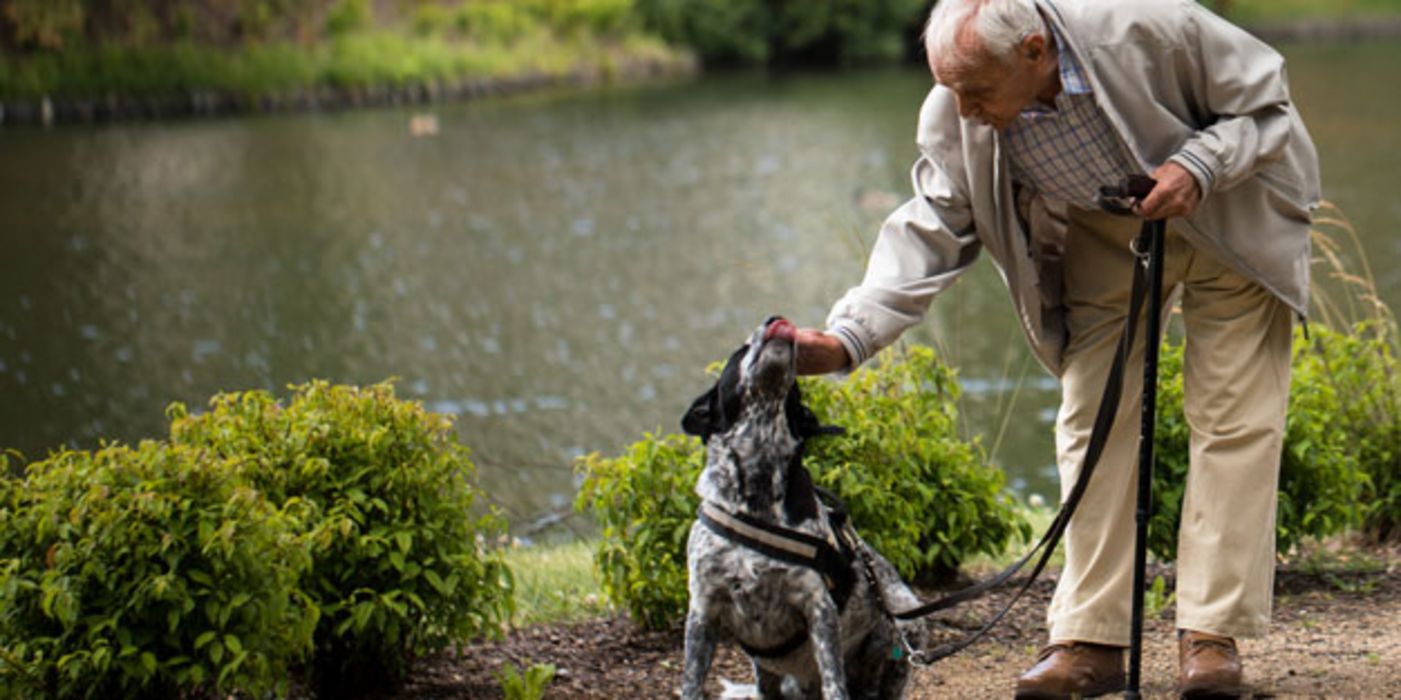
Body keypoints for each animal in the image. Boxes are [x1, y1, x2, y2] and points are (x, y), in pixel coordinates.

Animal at [675, 319, 919, 700]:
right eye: (742, 349)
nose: (774, 318)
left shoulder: (818, 607)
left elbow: (835, 682)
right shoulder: (703, 610)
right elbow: (691, 682)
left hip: (906, 621)